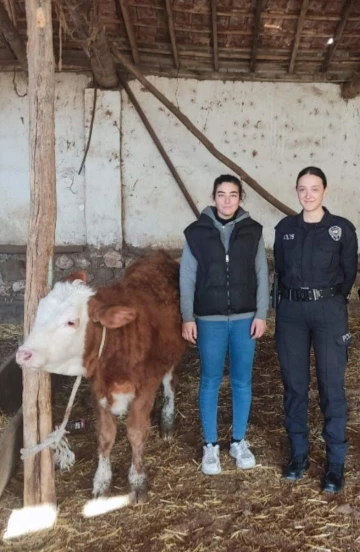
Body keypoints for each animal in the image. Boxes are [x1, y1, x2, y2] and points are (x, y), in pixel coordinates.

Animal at [15, 252, 187, 502]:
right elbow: (105, 436)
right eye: (39, 313)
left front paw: (137, 481)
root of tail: (157, 255)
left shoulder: (145, 387)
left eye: (71, 322)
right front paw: (102, 481)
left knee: (170, 384)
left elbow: (136, 432)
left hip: (173, 354)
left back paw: (166, 420)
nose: (23, 354)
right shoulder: (98, 389)